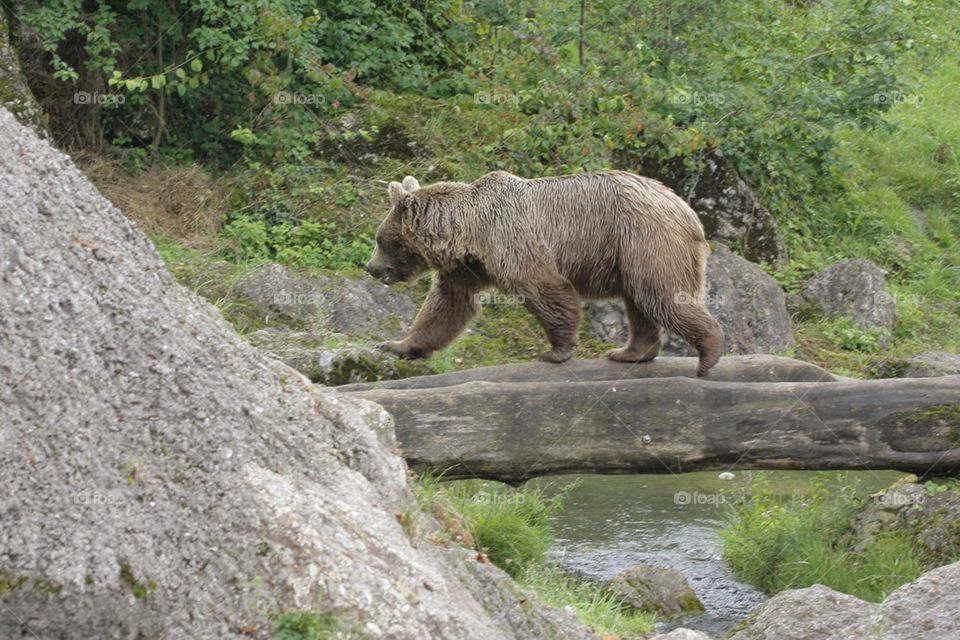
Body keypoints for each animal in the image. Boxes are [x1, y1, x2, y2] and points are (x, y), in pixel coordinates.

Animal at [364, 172, 724, 378]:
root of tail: (687, 210)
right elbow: (448, 306)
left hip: (646, 239)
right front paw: (396, 345)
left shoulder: (511, 240)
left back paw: (708, 353)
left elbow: (544, 287)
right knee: (639, 301)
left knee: (661, 295)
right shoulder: (468, 268)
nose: (370, 267)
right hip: (630, 253)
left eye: (380, 240)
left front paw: (555, 351)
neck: (469, 234)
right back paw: (629, 352)